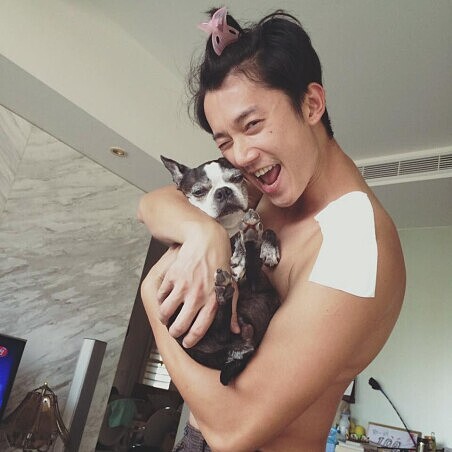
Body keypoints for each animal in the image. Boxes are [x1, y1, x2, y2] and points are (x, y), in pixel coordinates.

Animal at [161, 156, 281, 385]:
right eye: (199, 191)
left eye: (237, 178)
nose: (223, 191)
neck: (230, 226)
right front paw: (242, 252)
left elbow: (268, 229)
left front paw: (268, 248)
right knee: (221, 331)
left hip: (263, 293)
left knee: (252, 276)